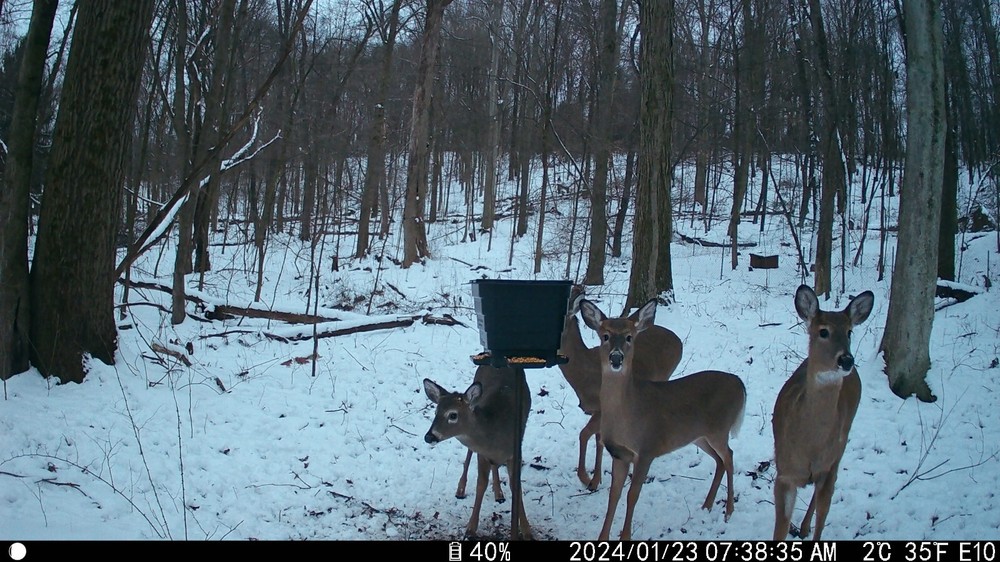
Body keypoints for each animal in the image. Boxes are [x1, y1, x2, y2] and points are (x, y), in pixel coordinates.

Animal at [423, 365, 533, 539]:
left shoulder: (516, 451)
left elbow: (516, 486)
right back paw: (461, 489)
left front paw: (527, 530)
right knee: (470, 453)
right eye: (435, 413)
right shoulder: (482, 454)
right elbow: (480, 485)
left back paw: (499, 493)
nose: (429, 436)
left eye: (452, 415)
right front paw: (470, 528)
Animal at [558, 285, 684, 491]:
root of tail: (678, 340)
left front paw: (586, 478)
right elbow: (598, 438)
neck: (585, 376)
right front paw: (596, 479)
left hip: (664, 375)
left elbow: (586, 434)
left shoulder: (602, 409)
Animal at [579, 298, 746, 541]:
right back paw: (706, 505)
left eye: (629, 336)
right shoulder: (619, 454)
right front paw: (603, 538)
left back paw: (729, 511)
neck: (628, 415)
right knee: (720, 460)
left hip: (719, 429)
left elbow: (632, 495)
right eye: (605, 335)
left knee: (730, 457)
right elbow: (614, 496)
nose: (616, 358)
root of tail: (740, 384)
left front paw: (625, 536)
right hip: (699, 436)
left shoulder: (647, 449)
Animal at [772, 285, 874, 541]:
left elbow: (822, 517)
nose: (846, 359)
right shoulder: (784, 472)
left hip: (841, 447)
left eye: (849, 331)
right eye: (823, 331)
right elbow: (781, 527)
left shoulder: (828, 467)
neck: (809, 444)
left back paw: (804, 527)